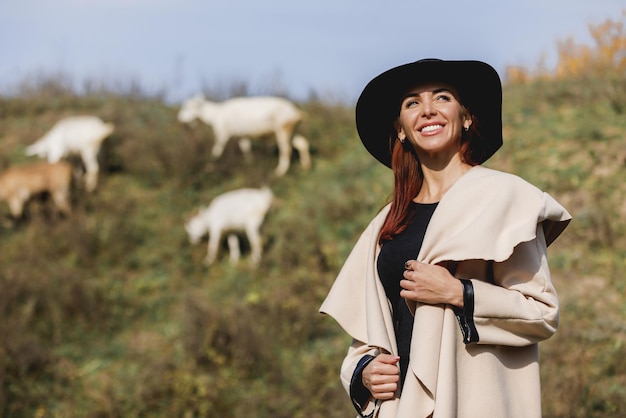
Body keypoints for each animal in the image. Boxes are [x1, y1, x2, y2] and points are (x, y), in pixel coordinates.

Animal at [177, 95, 308, 176]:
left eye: (188, 106)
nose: (180, 118)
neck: (216, 114)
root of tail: (296, 112)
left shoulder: (223, 133)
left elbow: (217, 149)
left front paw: (210, 165)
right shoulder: (242, 135)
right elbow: (245, 147)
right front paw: (249, 162)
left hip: (283, 129)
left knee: (286, 150)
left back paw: (280, 171)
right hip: (292, 131)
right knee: (302, 143)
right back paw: (305, 165)